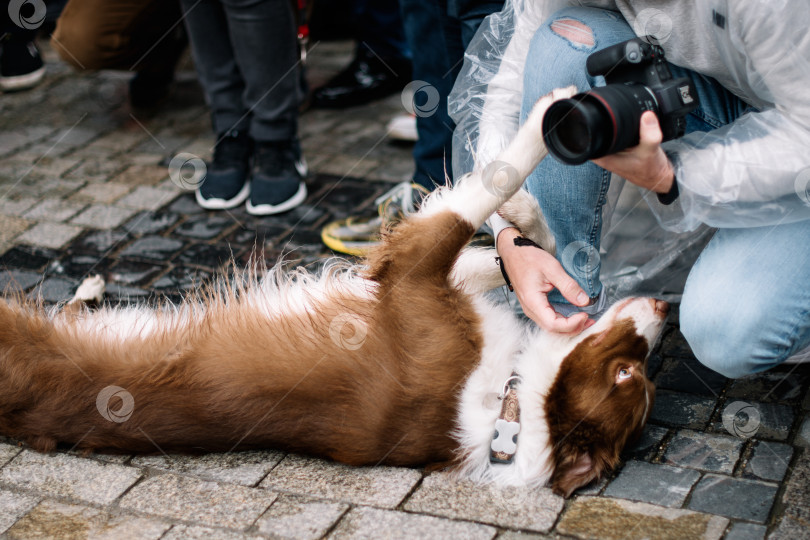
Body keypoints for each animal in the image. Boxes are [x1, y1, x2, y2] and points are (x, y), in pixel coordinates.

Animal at [0, 88, 664, 498]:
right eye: (628, 374)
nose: (662, 306)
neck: (507, 404)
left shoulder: (410, 276)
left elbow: (476, 195)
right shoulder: (419, 275)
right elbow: (494, 228)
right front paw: (535, 233)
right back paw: (90, 283)